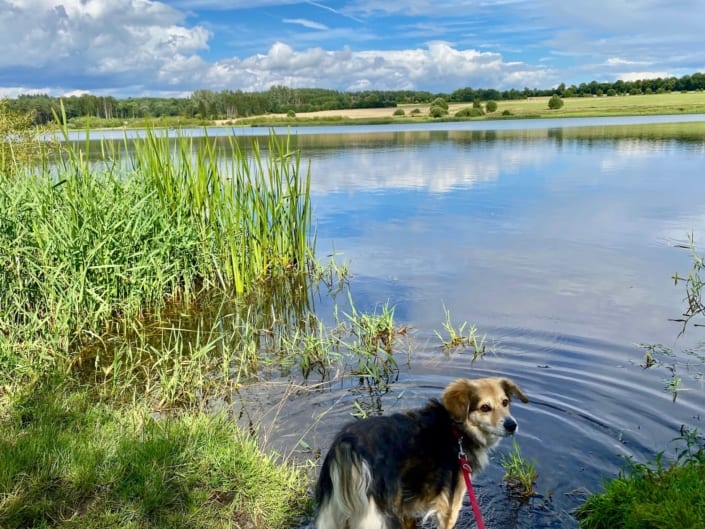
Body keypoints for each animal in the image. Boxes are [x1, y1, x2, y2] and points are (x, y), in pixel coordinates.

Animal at [314, 376, 528, 528]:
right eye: (485, 407)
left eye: (505, 402)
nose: (512, 425)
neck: (457, 430)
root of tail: (348, 445)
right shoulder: (450, 506)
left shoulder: (407, 507)